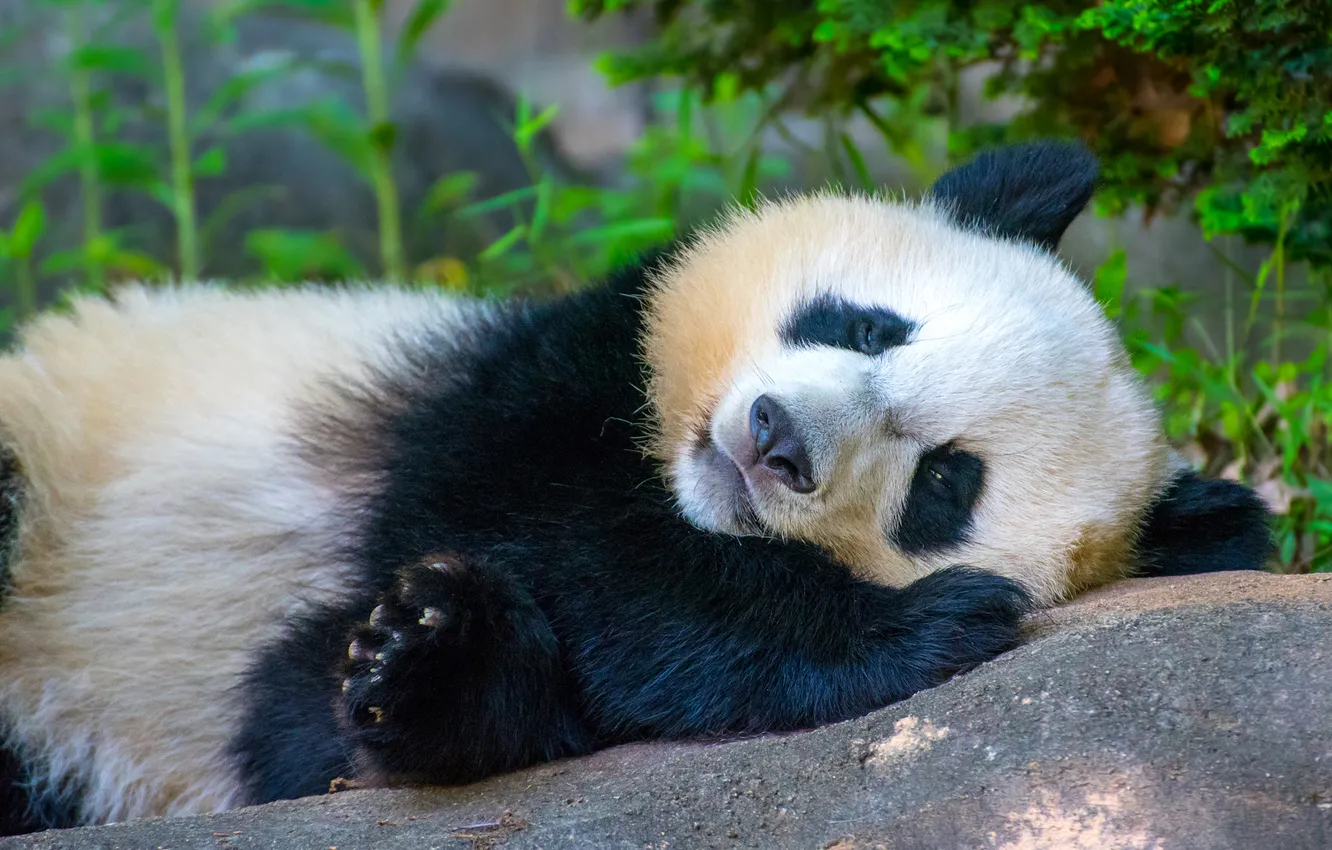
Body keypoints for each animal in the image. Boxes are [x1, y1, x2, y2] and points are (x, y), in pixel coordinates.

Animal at [0, 140, 1269, 834]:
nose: (774, 442)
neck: (681, 491)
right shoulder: (543, 382)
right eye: (866, 325)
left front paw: (419, 654)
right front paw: (907, 627)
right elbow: (583, 546)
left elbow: (323, 732)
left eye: (945, 483)